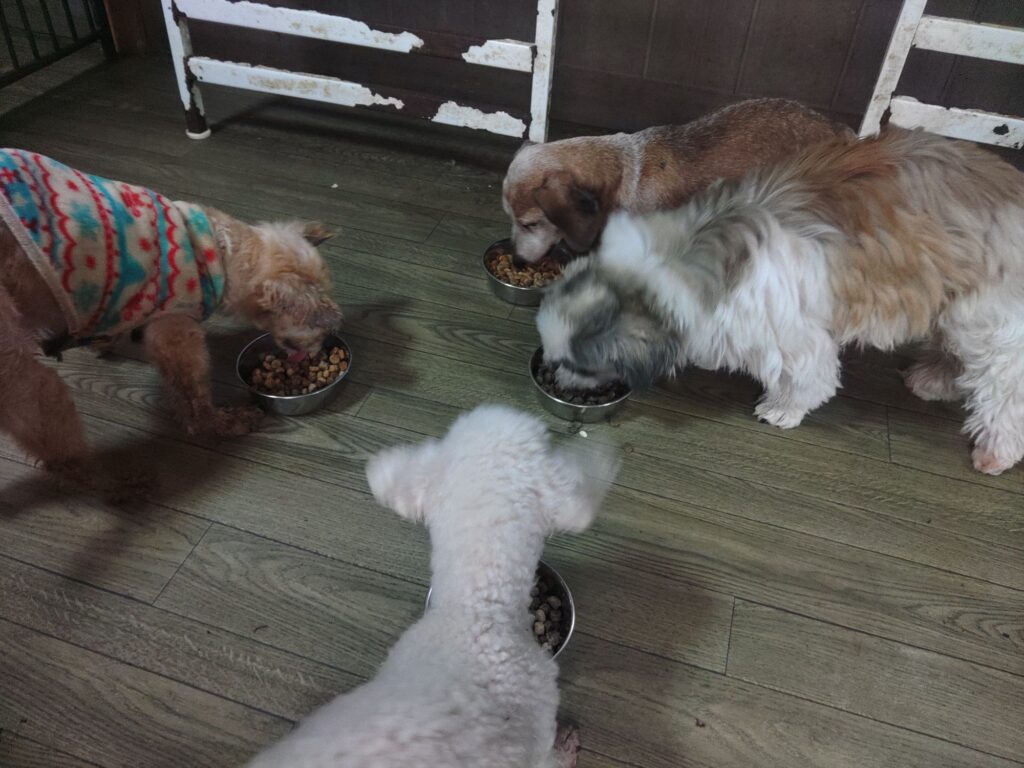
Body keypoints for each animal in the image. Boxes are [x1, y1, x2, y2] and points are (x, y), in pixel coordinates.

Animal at [0, 149, 342, 486]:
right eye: (318, 325)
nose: (319, 350)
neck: (223, 254)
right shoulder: (176, 331)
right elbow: (194, 395)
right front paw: (222, 423)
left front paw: (103, 340)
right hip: (18, 370)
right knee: (60, 447)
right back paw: (115, 480)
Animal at [536, 128, 1024, 475]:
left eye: (580, 366)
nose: (557, 377)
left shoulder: (793, 337)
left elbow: (808, 380)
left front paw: (782, 410)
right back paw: (933, 380)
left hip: (988, 320)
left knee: (1003, 388)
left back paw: (995, 452)